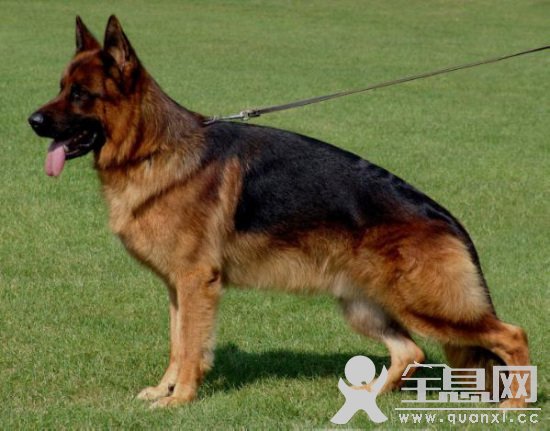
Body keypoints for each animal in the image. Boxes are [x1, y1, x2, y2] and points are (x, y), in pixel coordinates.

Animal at [28, 16, 531, 409]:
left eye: (81, 94)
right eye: (60, 88)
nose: (31, 121)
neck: (153, 148)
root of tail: (445, 217)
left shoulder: (196, 284)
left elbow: (190, 347)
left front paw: (181, 399)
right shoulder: (177, 287)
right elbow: (176, 342)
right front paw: (165, 389)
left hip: (430, 307)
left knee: (512, 335)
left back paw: (514, 407)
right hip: (362, 307)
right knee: (411, 353)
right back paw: (366, 399)